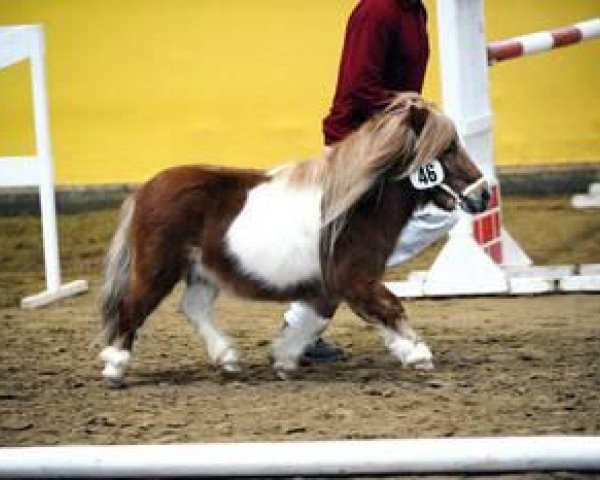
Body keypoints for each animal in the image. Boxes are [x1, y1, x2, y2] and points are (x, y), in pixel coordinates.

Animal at [101, 93, 490, 386]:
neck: (354, 207)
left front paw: (284, 358)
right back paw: (115, 365)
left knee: (193, 307)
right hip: (158, 267)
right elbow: (389, 306)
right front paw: (418, 354)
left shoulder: (329, 286)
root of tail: (145, 190)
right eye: (448, 148)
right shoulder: (355, 278)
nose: (484, 194)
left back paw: (228, 358)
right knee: (132, 306)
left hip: (203, 270)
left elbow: (315, 318)